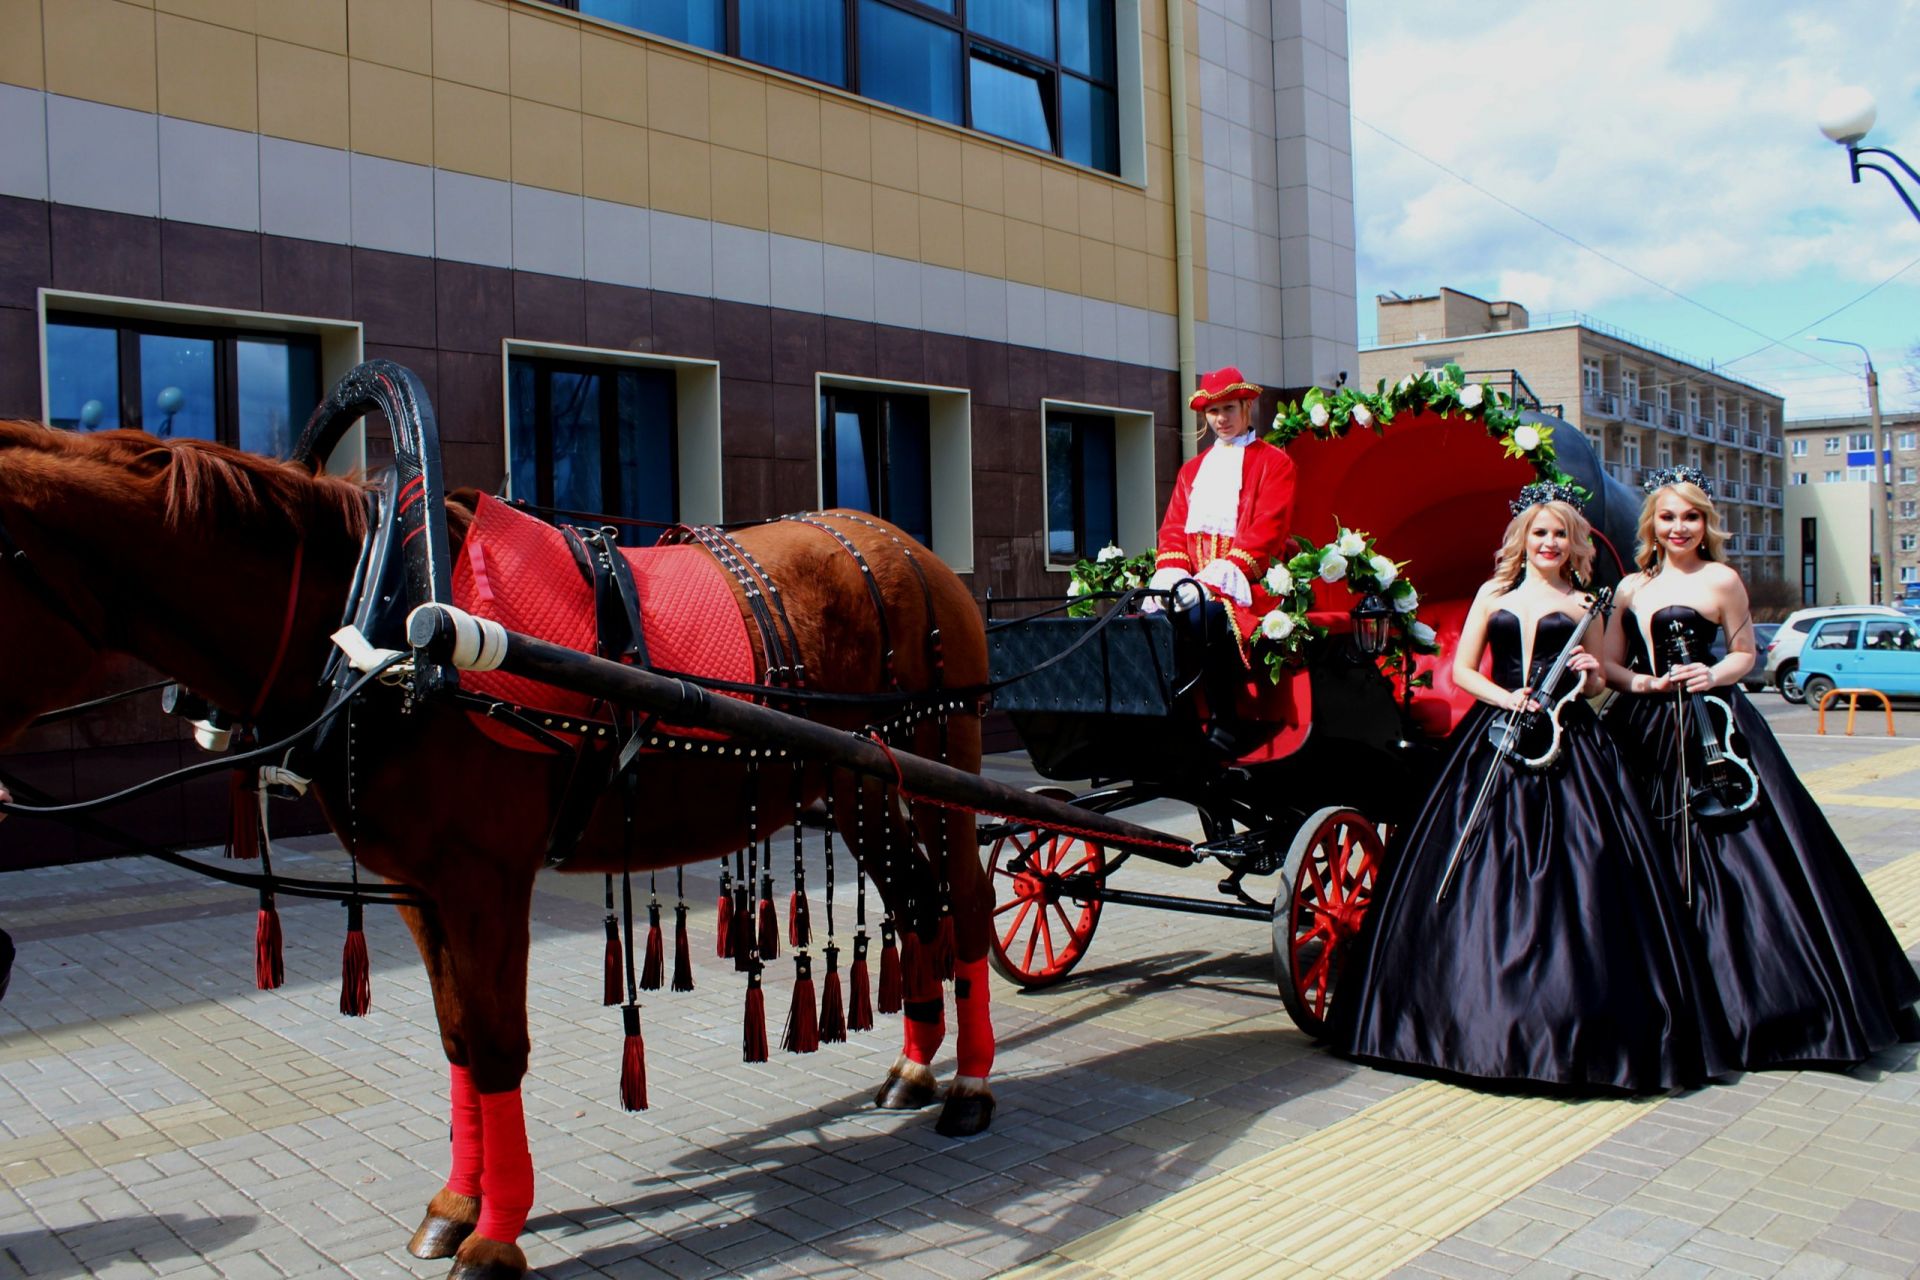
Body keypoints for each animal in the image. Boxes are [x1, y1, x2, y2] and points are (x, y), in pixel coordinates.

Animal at [0, 416, 990, 1274]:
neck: (386, 627)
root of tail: (906, 548)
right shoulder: (421, 888)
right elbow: (457, 1041)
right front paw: (455, 1205)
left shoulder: (486, 880)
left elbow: (499, 1045)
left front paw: (496, 1232)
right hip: (862, 781)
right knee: (916, 903)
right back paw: (915, 1064)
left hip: (945, 757)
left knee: (969, 905)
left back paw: (972, 1085)